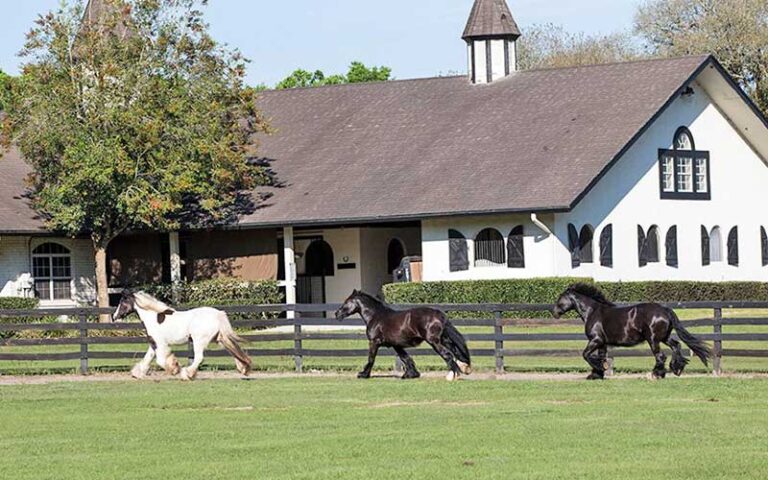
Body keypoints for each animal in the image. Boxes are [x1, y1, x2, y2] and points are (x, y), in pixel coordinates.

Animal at [112, 290, 250, 380]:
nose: (114, 317)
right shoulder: (153, 343)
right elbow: (148, 358)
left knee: (199, 358)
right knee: (235, 351)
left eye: (122, 303)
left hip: (199, 341)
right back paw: (244, 369)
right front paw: (137, 373)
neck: (153, 317)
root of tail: (218, 314)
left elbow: (160, 360)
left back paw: (187, 374)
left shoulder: (159, 343)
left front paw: (174, 369)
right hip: (220, 338)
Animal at [338, 288, 474, 382]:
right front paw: (410, 375)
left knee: (447, 355)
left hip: (434, 341)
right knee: (456, 352)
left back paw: (452, 376)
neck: (375, 316)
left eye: (346, 302)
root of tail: (439, 314)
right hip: (443, 339)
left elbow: (371, 359)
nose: (336, 314)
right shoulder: (396, 345)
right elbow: (406, 358)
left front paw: (363, 374)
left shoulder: (374, 342)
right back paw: (464, 369)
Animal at [556, 284, 712, 380]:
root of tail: (664, 309)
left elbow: (586, 355)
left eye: (560, 298)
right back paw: (676, 369)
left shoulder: (596, 340)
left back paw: (656, 374)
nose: (554, 312)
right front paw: (597, 374)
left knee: (661, 356)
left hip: (653, 339)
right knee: (676, 345)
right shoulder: (602, 343)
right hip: (664, 337)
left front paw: (598, 370)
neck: (592, 312)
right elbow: (600, 356)